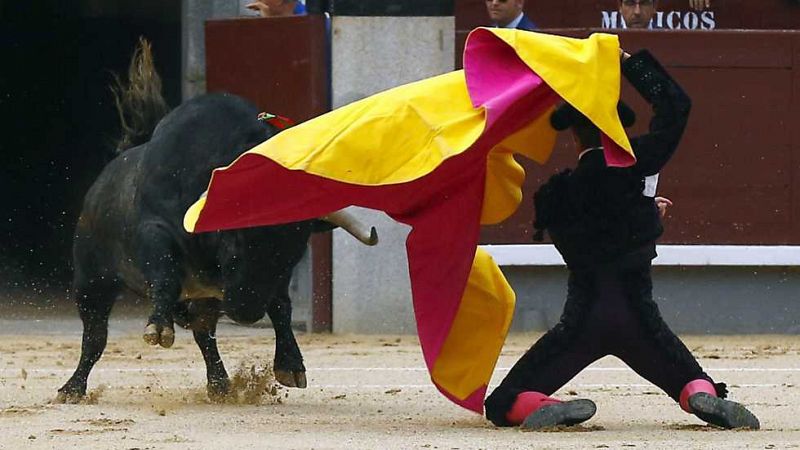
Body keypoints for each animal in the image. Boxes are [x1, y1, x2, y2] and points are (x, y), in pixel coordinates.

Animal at [57, 54, 372, 402]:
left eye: (294, 256)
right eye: (233, 242)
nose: (247, 312)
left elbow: (281, 307)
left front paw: (291, 365)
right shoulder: (155, 232)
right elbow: (165, 276)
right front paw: (158, 328)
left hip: (202, 297)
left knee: (204, 334)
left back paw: (220, 384)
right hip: (92, 280)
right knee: (95, 335)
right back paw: (71, 389)